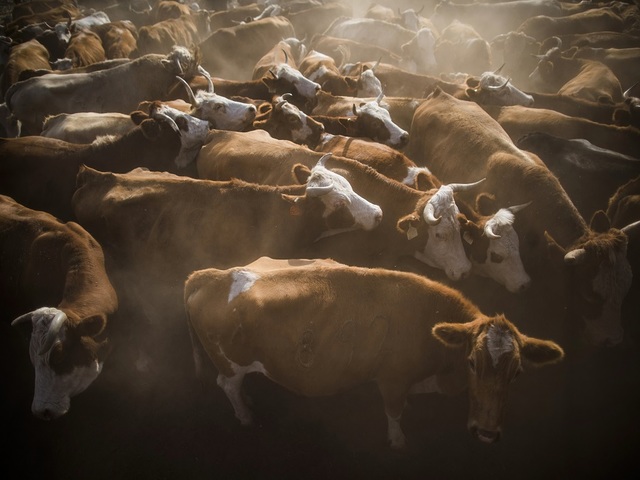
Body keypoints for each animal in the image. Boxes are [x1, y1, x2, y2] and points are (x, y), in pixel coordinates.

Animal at [183, 260, 564, 448]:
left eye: (517, 373)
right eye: (472, 362)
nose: (486, 433)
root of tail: (211, 275)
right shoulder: (393, 379)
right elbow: (393, 413)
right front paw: (397, 441)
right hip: (230, 362)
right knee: (227, 384)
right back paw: (245, 415)